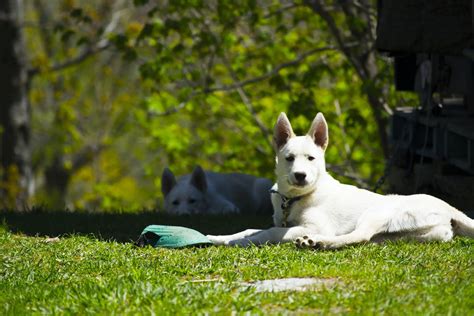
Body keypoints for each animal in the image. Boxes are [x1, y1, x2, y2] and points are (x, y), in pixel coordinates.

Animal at [208, 112, 474, 248]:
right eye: (289, 158)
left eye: (311, 158)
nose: (300, 175)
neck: (296, 199)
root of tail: (450, 208)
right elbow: (249, 228)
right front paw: (220, 238)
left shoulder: (315, 225)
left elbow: (270, 232)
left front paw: (242, 242)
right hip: (409, 234)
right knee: (368, 239)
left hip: (377, 212)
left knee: (359, 236)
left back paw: (317, 242)